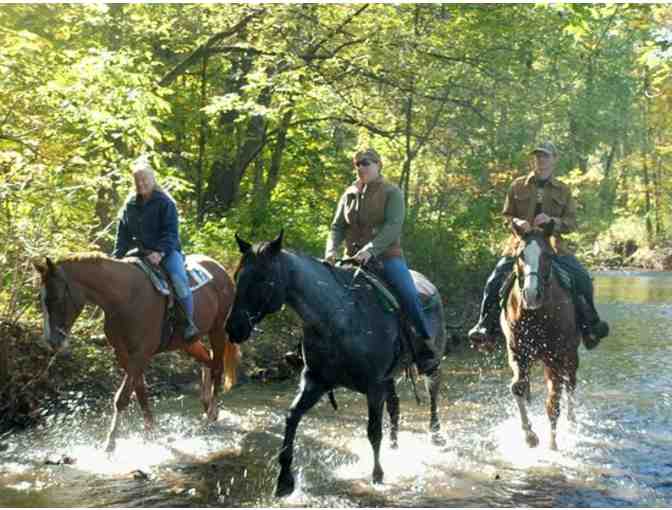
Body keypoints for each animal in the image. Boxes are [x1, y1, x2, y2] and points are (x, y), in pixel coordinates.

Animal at [33, 252, 240, 453]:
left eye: (55, 299)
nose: (51, 341)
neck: (125, 298)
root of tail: (220, 269)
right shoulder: (123, 354)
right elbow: (140, 391)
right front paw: (151, 433)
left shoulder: (140, 354)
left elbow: (122, 398)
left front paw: (110, 443)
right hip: (187, 342)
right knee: (208, 358)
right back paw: (206, 403)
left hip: (217, 330)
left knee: (217, 367)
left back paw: (212, 412)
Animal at [225, 231, 447, 497]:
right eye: (237, 276)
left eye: (262, 278)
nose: (234, 328)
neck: (338, 319)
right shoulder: (315, 382)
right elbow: (291, 417)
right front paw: (284, 481)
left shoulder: (373, 386)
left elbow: (373, 431)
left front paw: (377, 476)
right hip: (390, 377)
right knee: (395, 407)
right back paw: (395, 449)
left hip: (429, 364)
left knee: (433, 393)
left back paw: (436, 436)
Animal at [501, 224, 580, 451]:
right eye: (520, 255)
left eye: (548, 255)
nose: (531, 295)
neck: (536, 315)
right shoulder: (518, 354)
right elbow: (517, 388)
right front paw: (530, 436)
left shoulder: (555, 357)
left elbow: (554, 403)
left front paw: (552, 445)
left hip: (570, 356)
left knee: (570, 384)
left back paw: (571, 423)